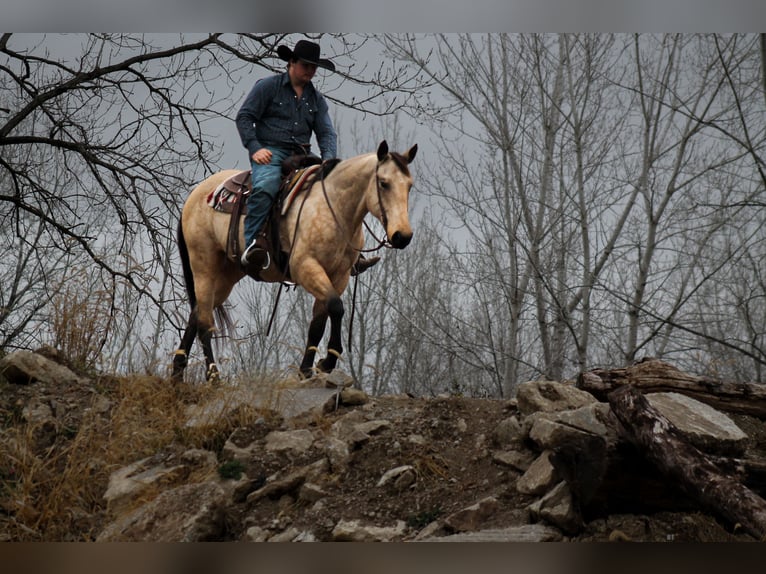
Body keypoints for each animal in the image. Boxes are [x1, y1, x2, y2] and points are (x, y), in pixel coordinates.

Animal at [171, 140, 418, 383]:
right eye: (384, 183)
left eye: (409, 186)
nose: (402, 236)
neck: (334, 209)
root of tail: (195, 195)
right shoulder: (306, 267)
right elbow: (336, 307)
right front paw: (327, 361)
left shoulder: (338, 276)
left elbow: (319, 322)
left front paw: (307, 370)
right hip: (204, 266)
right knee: (205, 322)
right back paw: (213, 376)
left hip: (227, 275)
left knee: (197, 314)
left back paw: (177, 372)